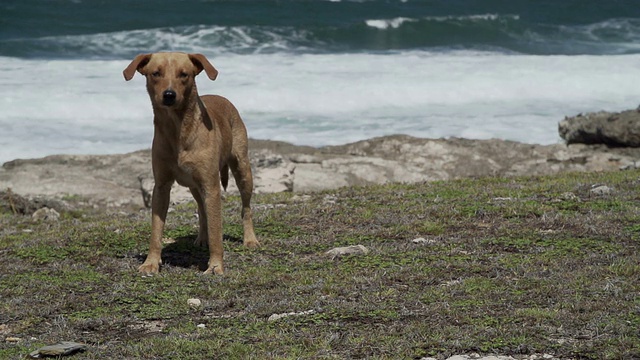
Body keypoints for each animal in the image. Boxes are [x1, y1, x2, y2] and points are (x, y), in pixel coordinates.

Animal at [122, 51, 258, 276]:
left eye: (184, 74)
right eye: (155, 73)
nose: (169, 95)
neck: (177, 129)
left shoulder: (211, 186)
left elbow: (216, 230)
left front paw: (215, 266)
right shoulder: (161, 186)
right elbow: (156, 229)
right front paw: (151, 262)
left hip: (242, 168)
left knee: (245, 207)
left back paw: (250, 239)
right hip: (194, 185)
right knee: (202, 208)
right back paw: (202, 237)